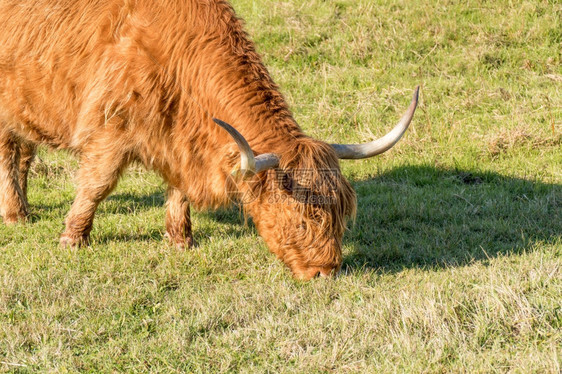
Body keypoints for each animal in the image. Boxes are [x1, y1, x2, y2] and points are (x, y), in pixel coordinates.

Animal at [0, 0, 414, 280]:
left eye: (340, 216)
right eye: (299, 220)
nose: (325, 271)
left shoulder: (182, 141)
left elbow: (179, 190)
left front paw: (181, 240)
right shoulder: (110, 127)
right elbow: (96, 185)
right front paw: (73, 239)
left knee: (24, 155)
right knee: (8, 155)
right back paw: (16, 214)